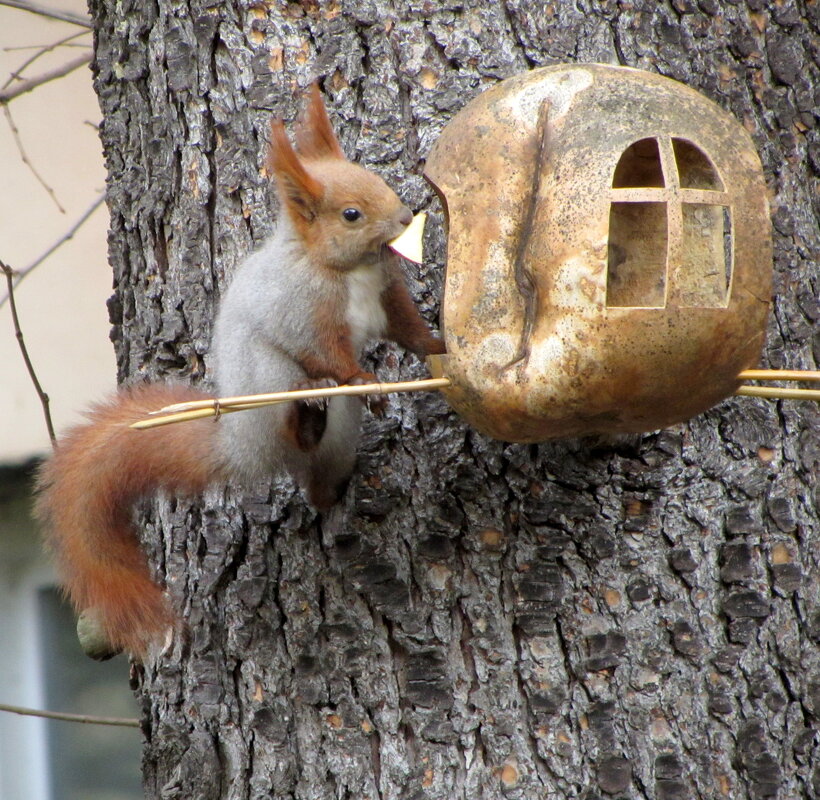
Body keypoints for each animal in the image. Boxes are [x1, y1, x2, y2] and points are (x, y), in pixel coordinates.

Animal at [33, 89, 442, 664]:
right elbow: (328, 352)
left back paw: (327, 473)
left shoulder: (387, 293)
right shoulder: (303, 313)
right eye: (351, 214)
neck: (347, 269)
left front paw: (440, 345)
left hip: (339, 440)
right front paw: (367, 378)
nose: (406, 216)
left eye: (378, 181)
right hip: (268, 377)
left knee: (318, 485)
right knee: (297, 409)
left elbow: (408, 328)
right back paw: (308, 405)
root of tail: (241, 446)